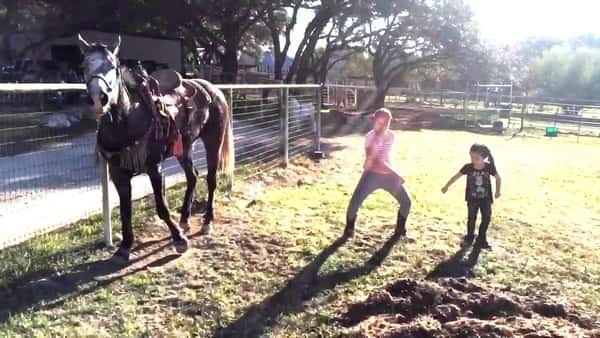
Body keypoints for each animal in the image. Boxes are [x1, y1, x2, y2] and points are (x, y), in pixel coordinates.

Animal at [81, 35, 236, 262]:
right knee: (192, 176)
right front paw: (125, 246)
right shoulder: (118, 173)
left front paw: (179, 240)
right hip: (185, 148)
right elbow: (125, 210)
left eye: (114, 66)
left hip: (213, 142)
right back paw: (185, 219)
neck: (127, 119)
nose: (98, 99)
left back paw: (207, 222)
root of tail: (213, 90)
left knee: (211, 180)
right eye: (84, 66)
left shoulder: (154, 167)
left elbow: (161, 206)